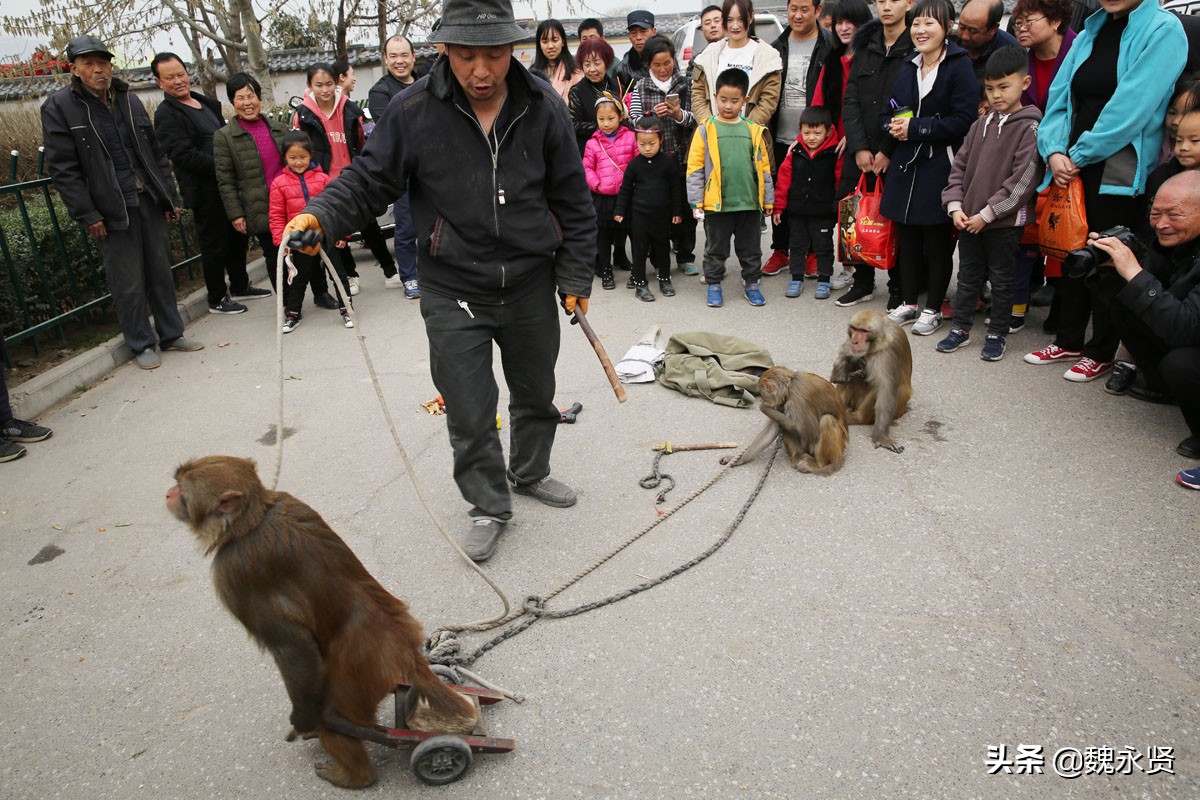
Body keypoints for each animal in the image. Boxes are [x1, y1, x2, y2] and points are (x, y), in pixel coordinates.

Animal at [166, 455, 475, 786]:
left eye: (182, 489)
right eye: (177, 481)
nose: (168, 494)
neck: (252, 521)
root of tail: (405, 651)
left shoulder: (233, 570)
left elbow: (294, 648)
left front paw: (302, 722)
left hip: (357, 680)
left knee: (330, 714)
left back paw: (355, 776)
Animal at [720, 367, 854, 474]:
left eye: (763, 394)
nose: (763, 400)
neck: (790, 385)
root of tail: (839, 454)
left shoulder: (799, 397)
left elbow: (810, 433)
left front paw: (764, 407)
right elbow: (772, 428)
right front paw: (737, 460)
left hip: (836, 446)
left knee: (826, 420)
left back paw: (818, 464)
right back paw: (797, 456)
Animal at [830, 309, 912, 453]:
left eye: (864, 331)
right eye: (855, 329)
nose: (855, 341)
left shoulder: (888, 351)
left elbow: (886, 388)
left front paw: (881, 436)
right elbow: (845, 366)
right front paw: (842, 362)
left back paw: (858, 417)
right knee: (848, 380)